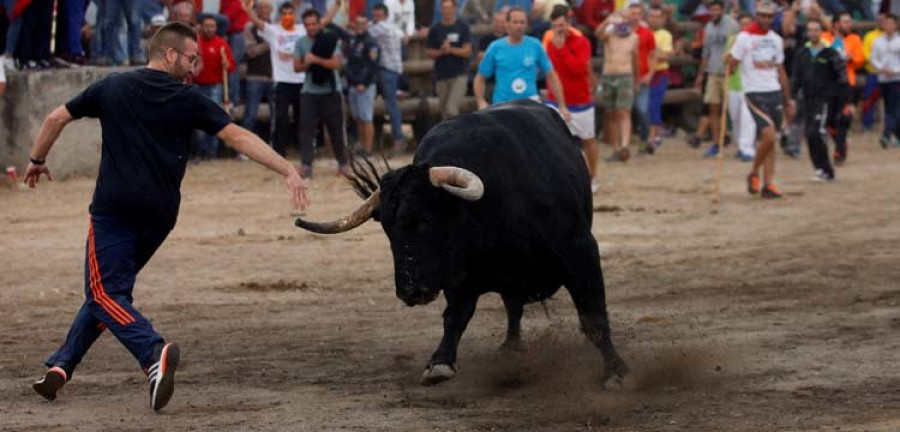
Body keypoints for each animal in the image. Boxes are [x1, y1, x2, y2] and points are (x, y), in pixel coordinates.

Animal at [296, 99, 624, 386]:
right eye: (387, 228)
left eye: (427, 217)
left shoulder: (580, 251)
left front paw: (615, 371)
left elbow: (593, 318)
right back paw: (510, 348)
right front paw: (440, 362)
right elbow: (456, 316)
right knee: (512, 306)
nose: (410, 291)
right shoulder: (459, 275)